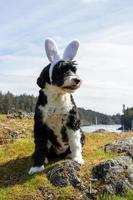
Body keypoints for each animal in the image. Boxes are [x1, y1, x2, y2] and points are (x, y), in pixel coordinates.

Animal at [28, 38, 85, 174]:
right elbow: (40, 147)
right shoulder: (40, 124)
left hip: (82, 133)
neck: (57, 97)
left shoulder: (72, 121)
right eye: (61, 70)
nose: (77, 80)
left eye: (74, 70)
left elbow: (75, 142)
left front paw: (77, 159)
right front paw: (36, 166)